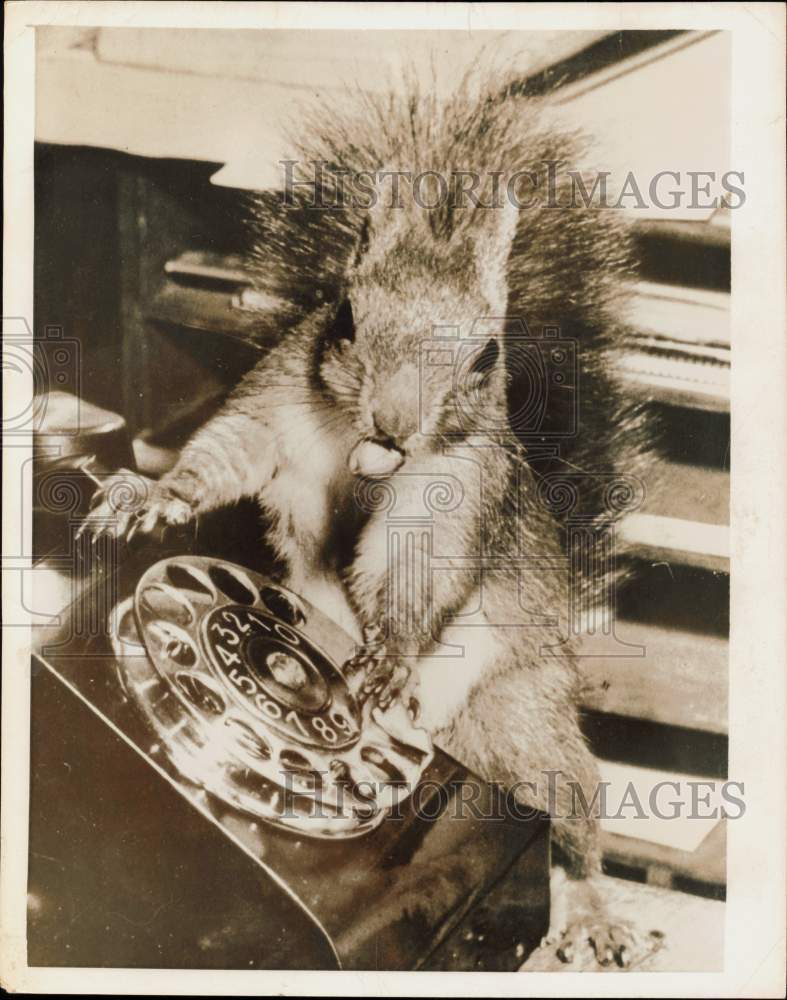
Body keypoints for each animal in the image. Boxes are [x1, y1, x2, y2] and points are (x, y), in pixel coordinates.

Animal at [83, 66, 656, 964]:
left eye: (486, 355)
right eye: (345, 317)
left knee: (570, 811)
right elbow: (220, 458)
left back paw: (591, 915)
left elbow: (412, 568)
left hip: (514, 722)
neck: (364, 455)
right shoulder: (275, 404)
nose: (393, 423)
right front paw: (149, 496)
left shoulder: (454, 490)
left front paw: (385, 660)